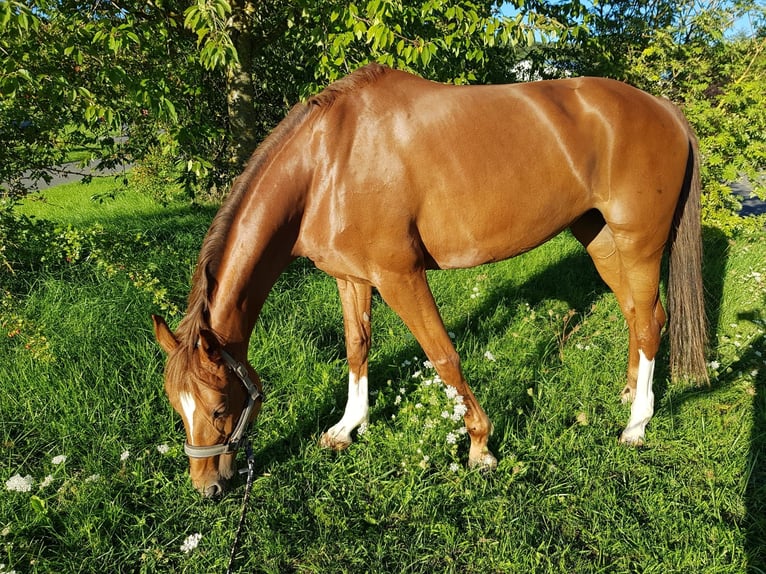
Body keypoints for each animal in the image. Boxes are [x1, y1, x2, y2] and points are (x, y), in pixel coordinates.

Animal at [153, 60, 712, 498]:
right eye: (178, 408)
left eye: (220, 408)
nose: (207, 487)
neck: (327, 165)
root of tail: (664, 107)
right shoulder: (352, 278)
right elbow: (357, 347)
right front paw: (347, 427)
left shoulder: (400, 276)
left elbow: (443, 355)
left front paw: (480, 447)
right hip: (597, 235)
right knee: (639, 312)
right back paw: (630, 393)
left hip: (640, 243)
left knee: (649, 322)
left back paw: (636, 424)